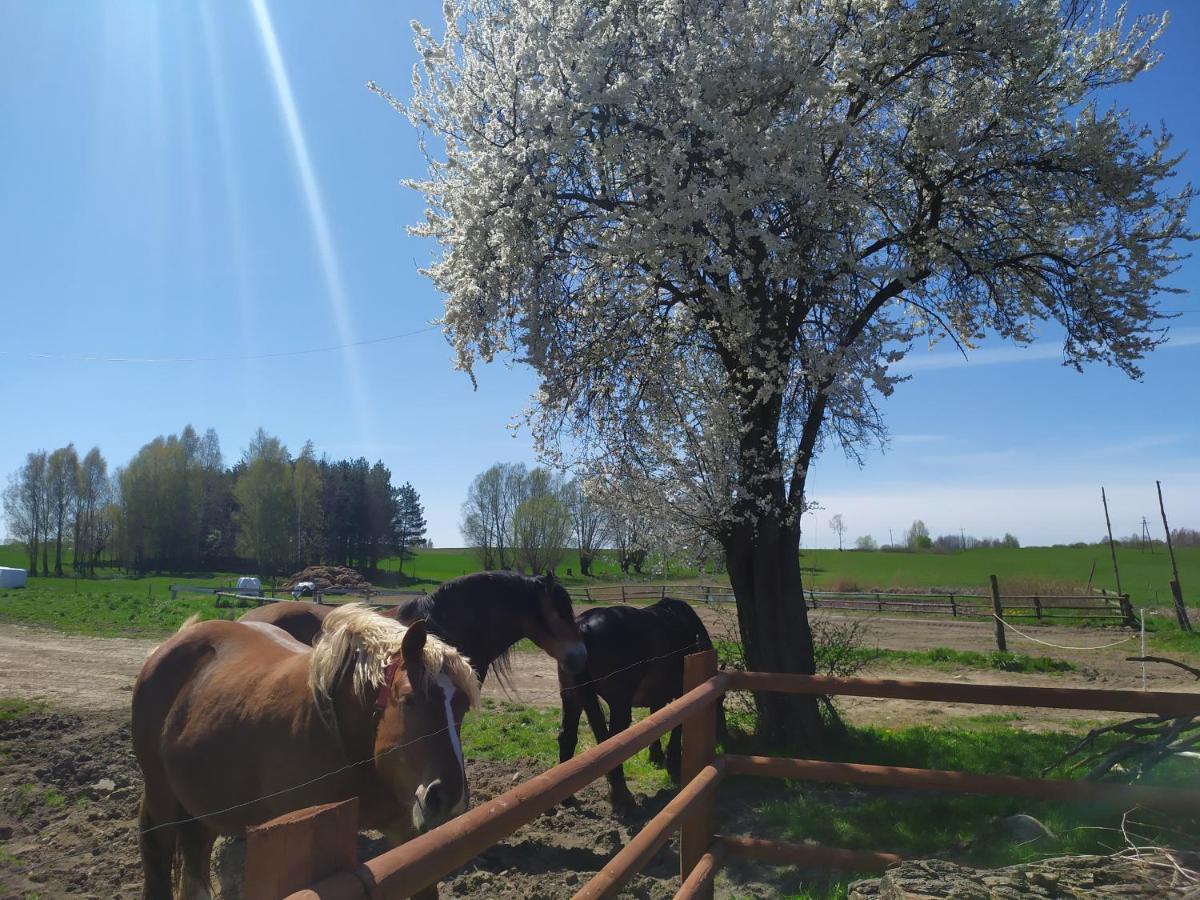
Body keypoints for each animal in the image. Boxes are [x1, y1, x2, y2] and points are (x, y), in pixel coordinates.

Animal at [135, 607, 477, 900]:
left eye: (462, 707)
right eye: (408, 699)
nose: (447, 798)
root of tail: (177, 639)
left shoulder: (407, 836)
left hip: (202, 807)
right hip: (161, 797)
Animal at [556, 602, 715, 816]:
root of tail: (583, 627)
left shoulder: (658, 697)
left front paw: (656, 757)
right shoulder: (683, 693)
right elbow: (677, 727)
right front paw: (673, 763)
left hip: (572, 696)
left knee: (567, 737)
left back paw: (568, 798)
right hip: (619, 704)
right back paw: (622, 797)